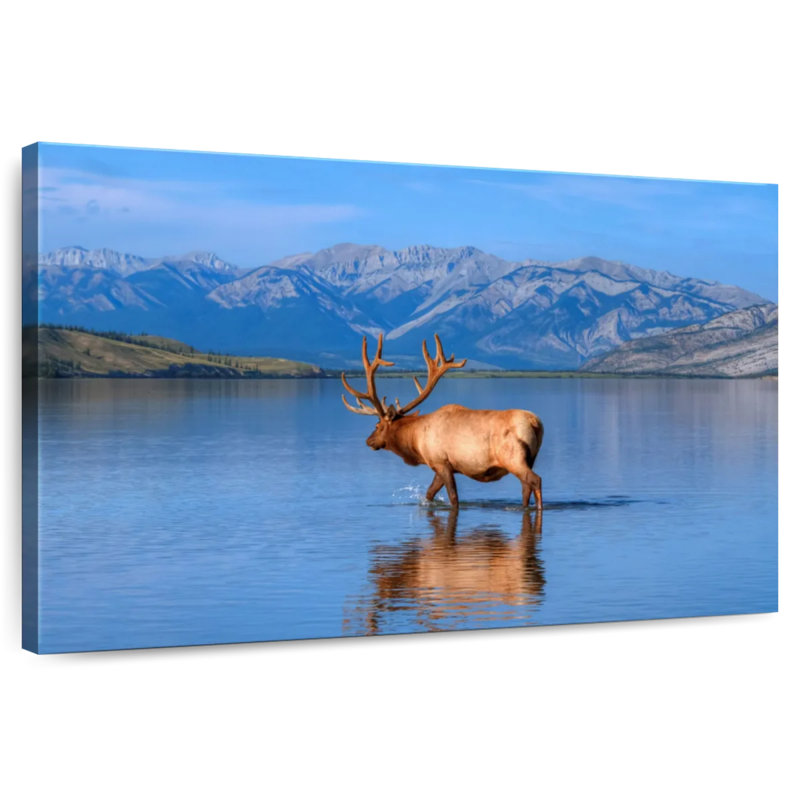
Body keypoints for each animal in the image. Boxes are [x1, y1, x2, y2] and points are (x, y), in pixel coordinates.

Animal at [341, 334, 544, 510]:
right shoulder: (443, 467)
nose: (368, 440)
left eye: (378, 425)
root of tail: (535, 423)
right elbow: (429, 494)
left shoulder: (441, 461)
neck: (416, 440)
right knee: (526, 487)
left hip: (512, 457)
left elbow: (453, 498)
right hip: (530, 458)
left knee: (535, 480)